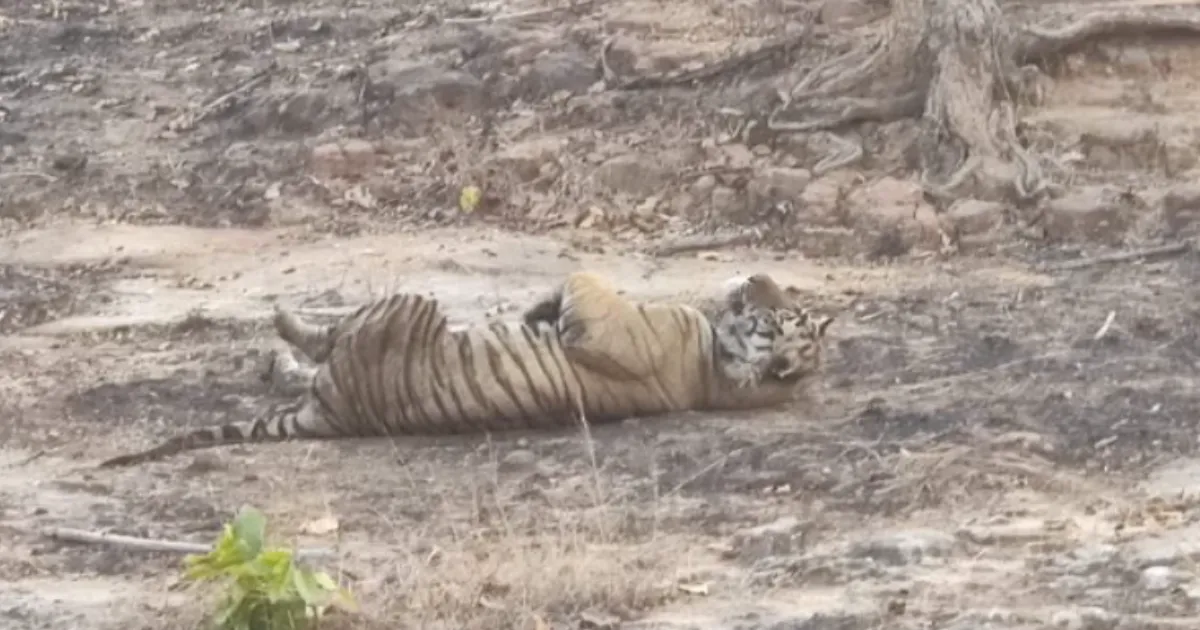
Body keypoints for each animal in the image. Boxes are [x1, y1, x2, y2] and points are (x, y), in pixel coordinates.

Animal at [97, 271, 834, 468]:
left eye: (779, 317)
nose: (754, 281)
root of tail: (330, 415)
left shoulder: (610, 322)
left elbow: (583, 281)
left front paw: (549, 309)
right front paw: (539, 309)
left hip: (404, 305)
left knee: (325, 337)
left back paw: (279, 325)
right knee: (300, 366)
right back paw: (269, 354)